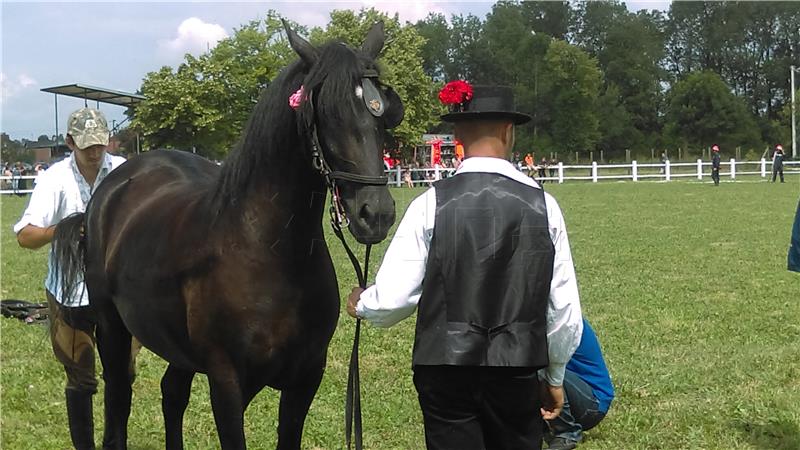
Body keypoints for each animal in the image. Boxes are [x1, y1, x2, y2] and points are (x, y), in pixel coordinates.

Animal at [50, 21, 400, 450]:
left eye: (381, 115)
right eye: (327, 113)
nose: (376, 213)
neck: (270, 252)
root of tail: (110, 188)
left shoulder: (305, 379)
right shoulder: (227, 384)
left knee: (172, 394)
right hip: (113, 331)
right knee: (118, 407)